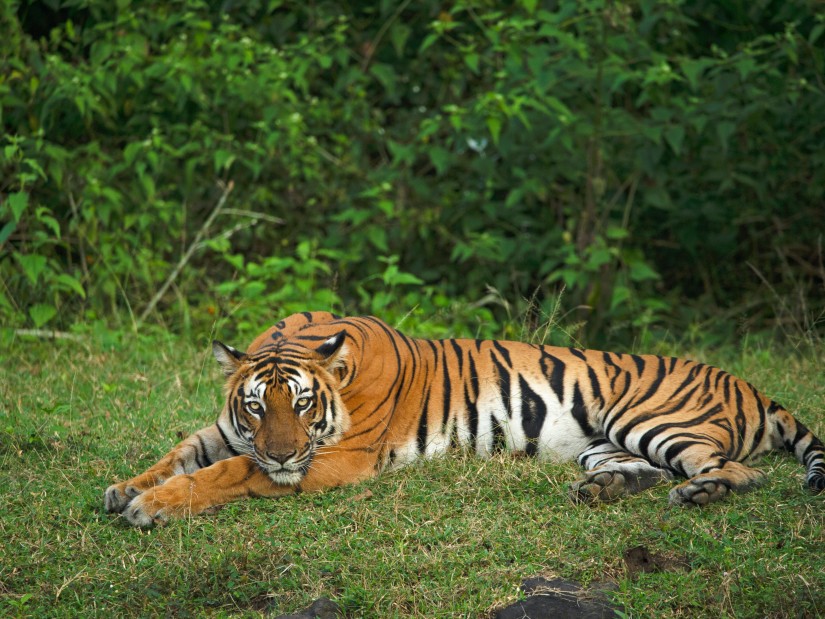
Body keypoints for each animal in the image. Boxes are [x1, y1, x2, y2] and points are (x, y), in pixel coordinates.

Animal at [104, 312, 824, 524]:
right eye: (256, 405)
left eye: (303, 403)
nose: (280, 452)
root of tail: (749, 383)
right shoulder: (230, 432)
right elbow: (183, 451)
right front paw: (123, 488)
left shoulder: (335, 460)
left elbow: (225, 473)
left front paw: (150, 507)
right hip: (604, 442)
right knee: (640, 470)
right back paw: (602, 489)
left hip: (651, 418)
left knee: (740, 471)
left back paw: (700, 492)